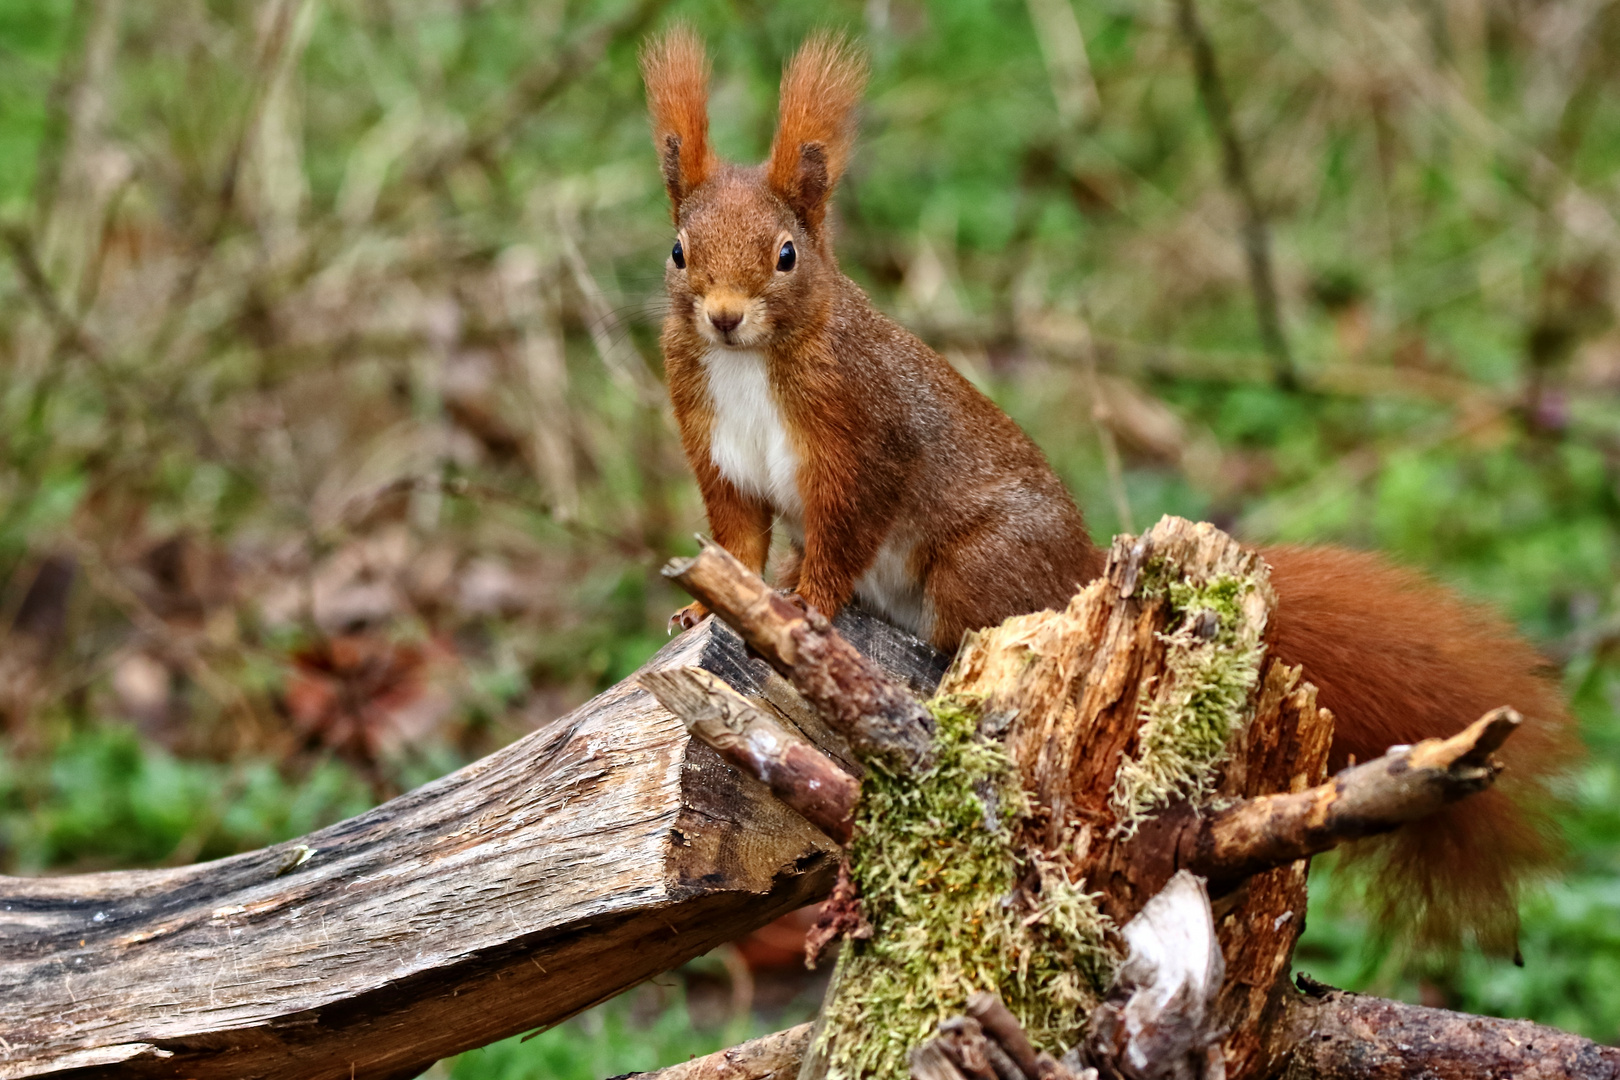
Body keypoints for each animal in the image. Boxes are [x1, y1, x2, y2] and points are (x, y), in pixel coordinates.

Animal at [641, 27, 1568, 952]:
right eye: (678, 251)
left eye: (786, 255)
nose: (724, 315)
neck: (748, 364)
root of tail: (1081, 568)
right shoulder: (715, 448)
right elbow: (738, 536)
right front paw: (702, 606)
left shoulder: (863, 443)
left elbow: (843, 532)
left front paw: (805, 603)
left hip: (977, 564)